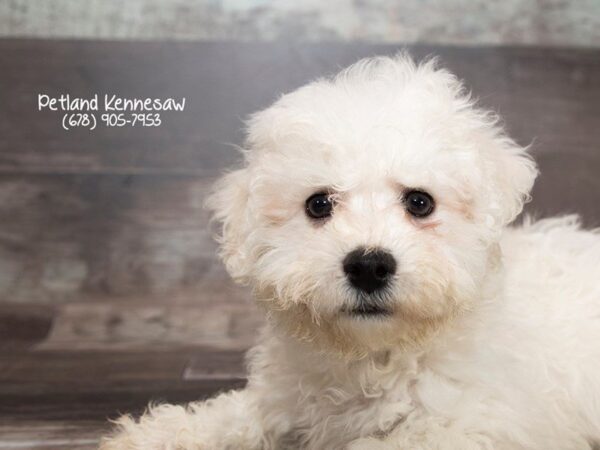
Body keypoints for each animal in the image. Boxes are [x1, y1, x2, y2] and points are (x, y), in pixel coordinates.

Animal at [101, 53, 600, 450]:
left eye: (420, 202)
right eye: (319, 204)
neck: (374, 357)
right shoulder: (286, 393)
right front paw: (157, 433)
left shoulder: (474, 422)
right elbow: (241, 413)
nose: (368, 265)